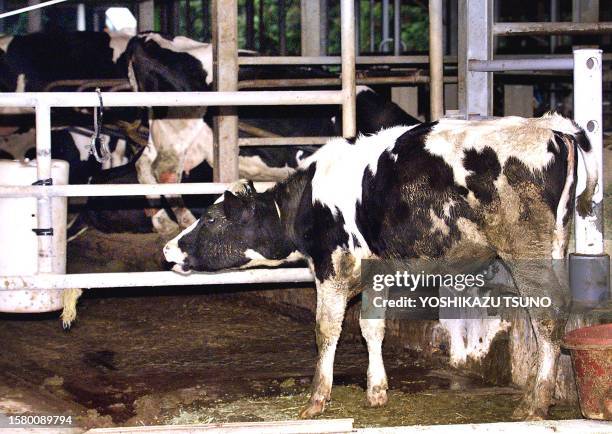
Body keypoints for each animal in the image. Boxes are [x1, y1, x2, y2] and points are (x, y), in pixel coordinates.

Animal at [124, 32, 420, 236]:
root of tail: (146, 38)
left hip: (165, 136)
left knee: (143, 165)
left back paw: (160, 219)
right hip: (177, 129)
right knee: (164, 172)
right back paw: (183, 218)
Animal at [163, 112, 596, 420]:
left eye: (212, 219)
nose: (169, 250)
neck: (307, 198)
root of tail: (550, 128)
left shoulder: (332, 265)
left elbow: (326, 329)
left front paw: (317, 398)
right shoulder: (376, 270)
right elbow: (372, 328)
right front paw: (376, 391)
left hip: (526, 248)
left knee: (547, 315)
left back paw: (535, 403)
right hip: (555, 242)